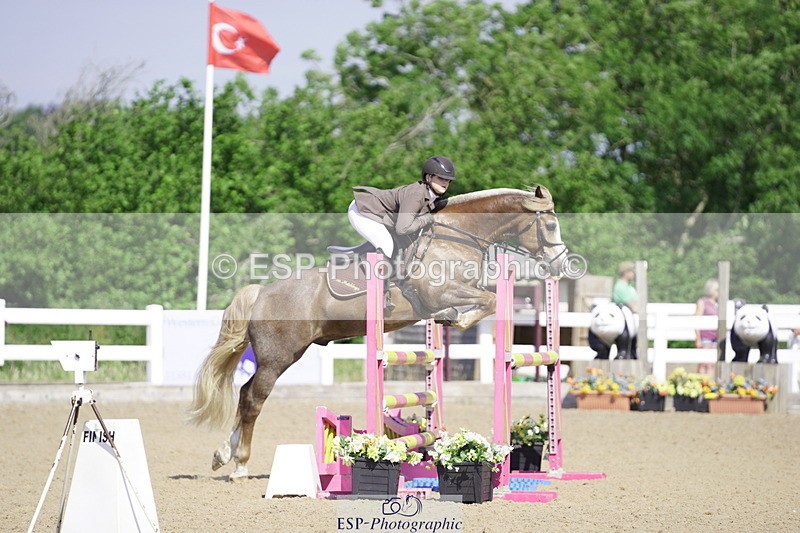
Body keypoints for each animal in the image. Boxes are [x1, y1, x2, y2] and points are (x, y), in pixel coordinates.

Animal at [188, 185, 568, 480]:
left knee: (244, 394)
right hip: (276, 357)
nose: (561, 265)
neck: (456, 237)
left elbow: (487, 300)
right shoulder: (440, 293)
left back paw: (222, 454)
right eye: (550, 225)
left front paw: (451, 321)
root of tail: (262, 293)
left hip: (285, 354)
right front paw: (453, 319)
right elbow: (489, 300)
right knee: (254, 399)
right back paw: (239, 464)